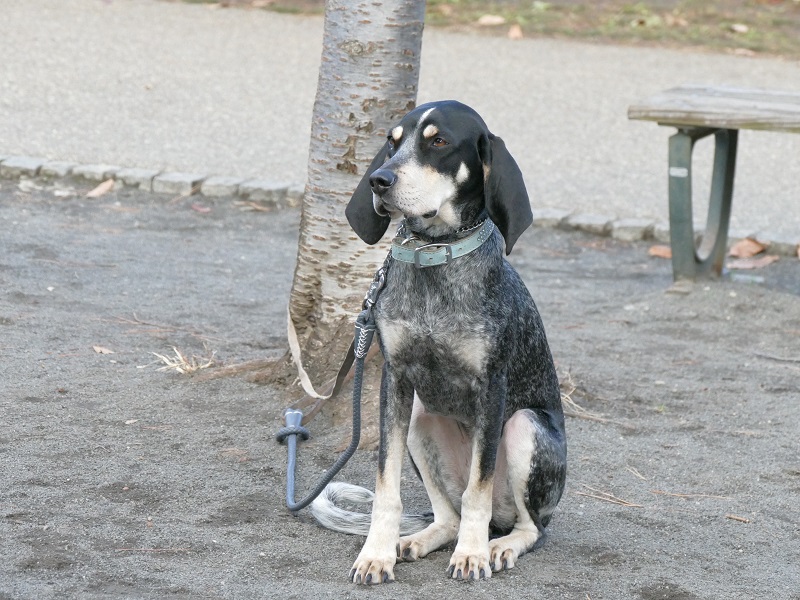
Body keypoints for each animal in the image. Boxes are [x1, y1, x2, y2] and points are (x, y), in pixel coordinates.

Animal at [310, 101, 564, 584]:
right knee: (447, 515)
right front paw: (376, 554)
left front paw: (471, 555)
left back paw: (498, 546)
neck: (434, 257)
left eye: (439, 141)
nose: (379, 180)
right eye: (391, 142)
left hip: (526, 425)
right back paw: (417, 540)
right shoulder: (395, 381)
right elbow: (386, 488)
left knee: (531, 526)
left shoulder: (491, 387)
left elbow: (477, 490)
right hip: (419, 421)